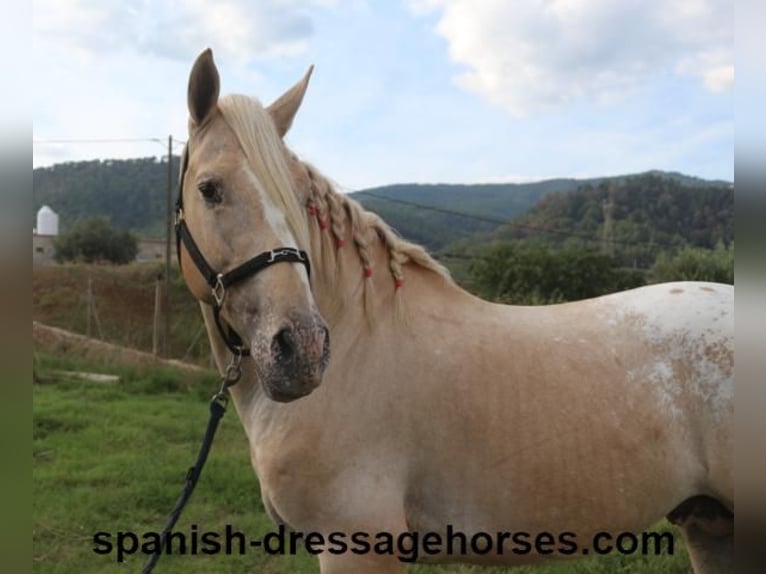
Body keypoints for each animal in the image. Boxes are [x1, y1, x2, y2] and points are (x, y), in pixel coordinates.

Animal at [177, 48, 736, 572]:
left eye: (294, 200)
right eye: (209, 189)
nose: (302, 349)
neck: (359, 345)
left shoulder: (357, 543)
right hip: (710, 526)